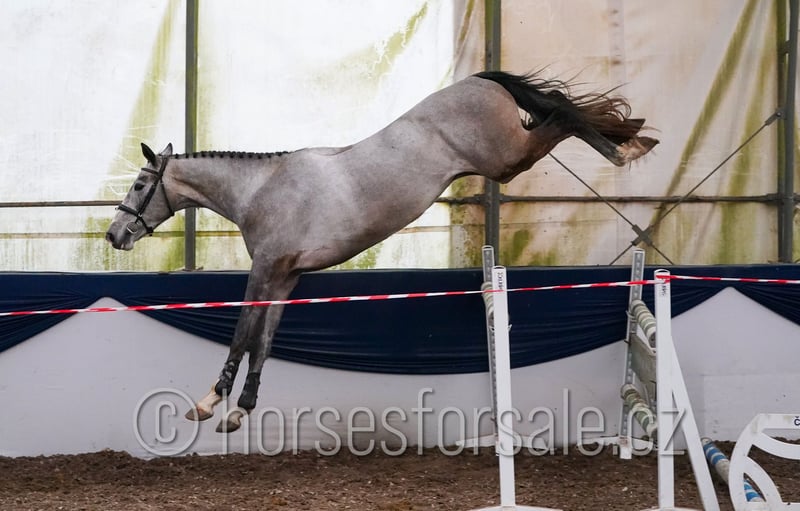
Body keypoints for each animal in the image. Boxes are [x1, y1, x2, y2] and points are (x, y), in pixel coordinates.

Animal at [106, 71, 658, 433]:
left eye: (140, 185)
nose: (114, 235)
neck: (261, 189)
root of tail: (479, 80)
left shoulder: (265, 269)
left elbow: (242, 333)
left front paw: (208, 404)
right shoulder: (286, 277)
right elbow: (263, 340)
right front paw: (240, 409)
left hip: (507, 160)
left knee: (562, 111)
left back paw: (626, 150)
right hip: (509, 159)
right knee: (563, 110)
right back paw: (635, 141)